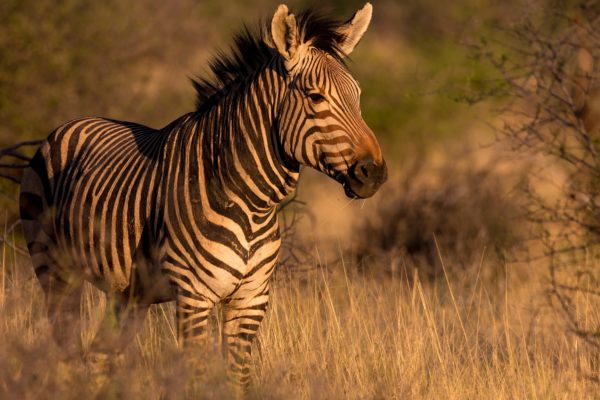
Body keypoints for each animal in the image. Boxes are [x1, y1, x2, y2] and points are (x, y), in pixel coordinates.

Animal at [18, 1, 386, 390]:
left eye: (358, 96)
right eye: (315, 97)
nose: (375, 173)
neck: (251, 205)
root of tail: (72, 122)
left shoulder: (251, 299)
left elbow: (238, 380)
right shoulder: (194, 297)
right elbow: (195, 378)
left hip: (127, 293)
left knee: (99, 355)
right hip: (54, 269)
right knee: (64, 347)